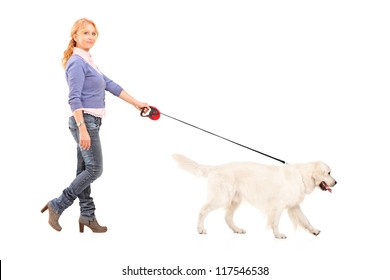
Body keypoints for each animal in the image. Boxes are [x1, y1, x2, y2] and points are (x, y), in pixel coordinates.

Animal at [172, 153, 336, 238]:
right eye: (328, 173)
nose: (336, 182)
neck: (301, 175)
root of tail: (216, 168)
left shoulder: (294, 206)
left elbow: (305, 220)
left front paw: (314, 230)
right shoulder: (278, 205)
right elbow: (275, 222)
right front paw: (278, 235)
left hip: (234, 200)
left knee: (227, 217)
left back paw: (237, 230)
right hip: (221, 197)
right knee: (203, 210)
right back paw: (200, 229)